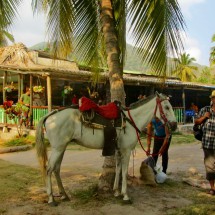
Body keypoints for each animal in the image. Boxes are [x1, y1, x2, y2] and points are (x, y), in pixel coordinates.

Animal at [35, 91, 176, 206]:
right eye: (167, 107)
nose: (174, 126)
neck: (131, 120)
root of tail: (50, 115)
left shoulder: (119, 151)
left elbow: (118, 170)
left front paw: (116, 192)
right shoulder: (126, 151)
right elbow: (124, 172)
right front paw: (125, 196)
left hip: (61, 148)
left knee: (56, 169)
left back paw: (64, 195)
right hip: (58, 148)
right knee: (49, 170)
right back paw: (51, 199)